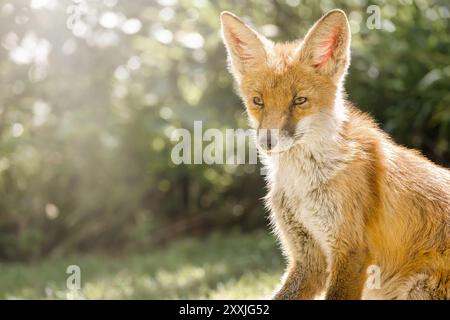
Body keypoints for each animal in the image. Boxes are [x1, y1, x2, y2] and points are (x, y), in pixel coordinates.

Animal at [221, 10, 450, 300]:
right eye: (258, 101)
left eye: (299, 100)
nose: (268, 142)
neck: (302, 184)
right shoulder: (309, 260)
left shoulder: (351, 251)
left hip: (415, 288)